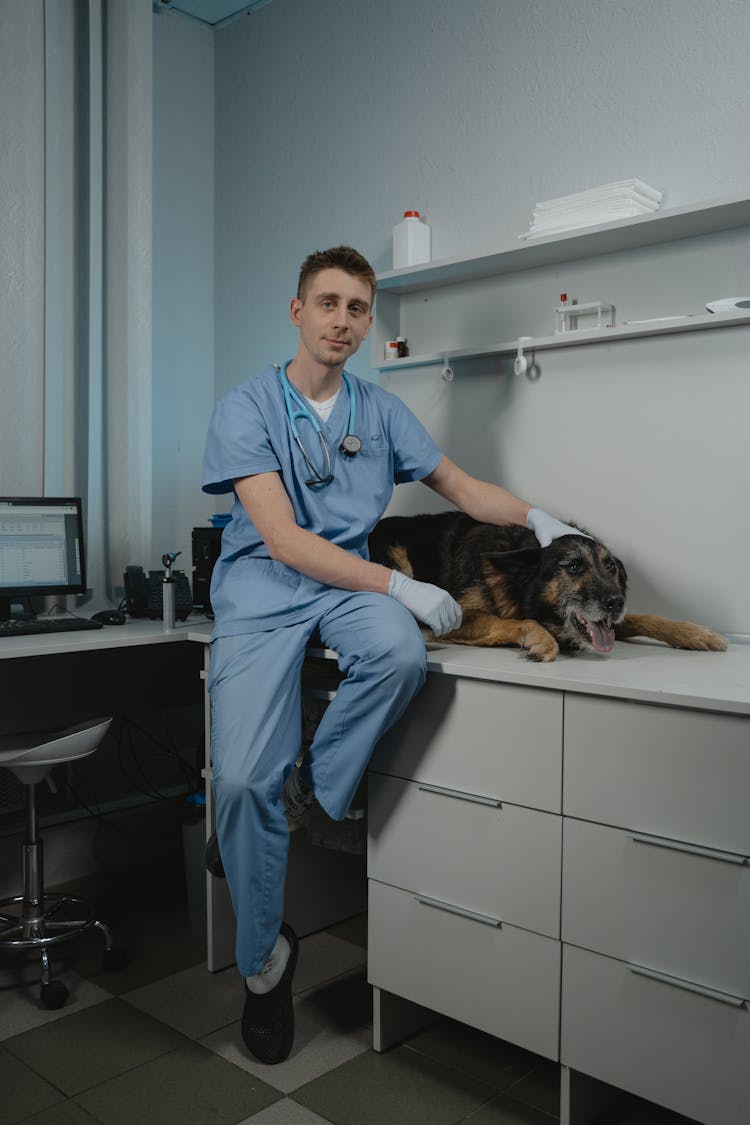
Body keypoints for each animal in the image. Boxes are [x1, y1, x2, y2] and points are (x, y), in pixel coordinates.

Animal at [368, 515, 728, 661]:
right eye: (573, 567)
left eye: (611, 567)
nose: (616, 602)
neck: (518, 581)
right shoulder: (458, 616)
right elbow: (514, 621)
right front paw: (541, 639)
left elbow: (646, 618)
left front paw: (696, 633)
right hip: (397, 557)